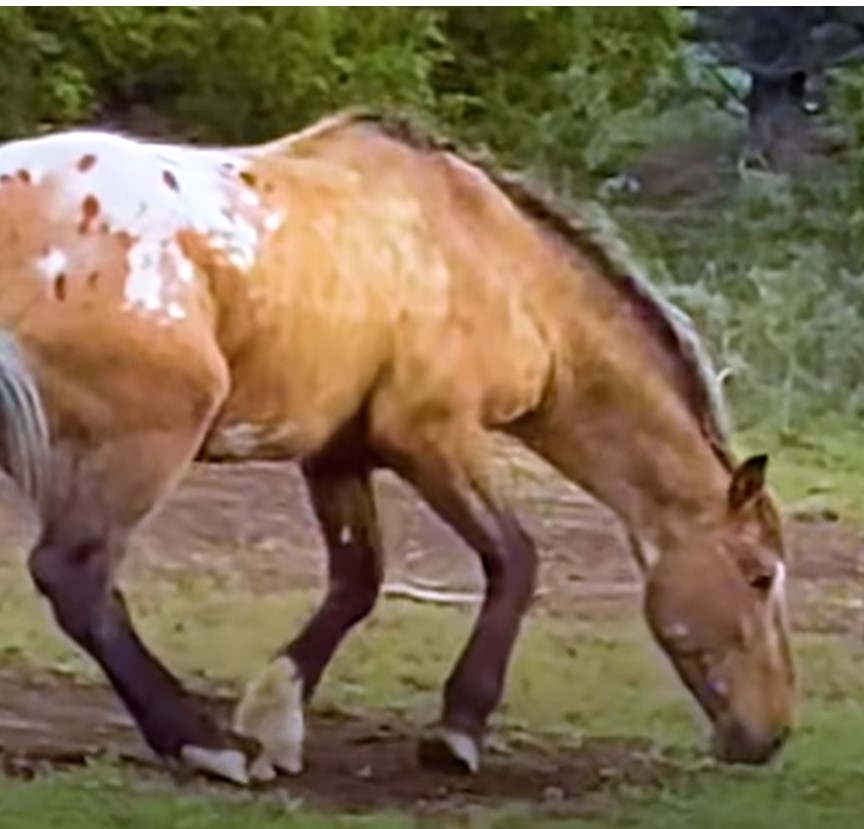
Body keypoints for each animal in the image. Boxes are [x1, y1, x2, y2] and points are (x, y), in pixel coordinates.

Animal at [0, 111, 792, 784]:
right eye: (758, 575)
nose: (772, 734)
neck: (493, 260)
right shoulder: (431, 435)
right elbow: (514, 559)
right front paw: (457, 731)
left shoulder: (336, 453)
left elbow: (357, 581)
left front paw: (278, 721)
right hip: (146, 443)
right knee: (77, 578)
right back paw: (206, 744)